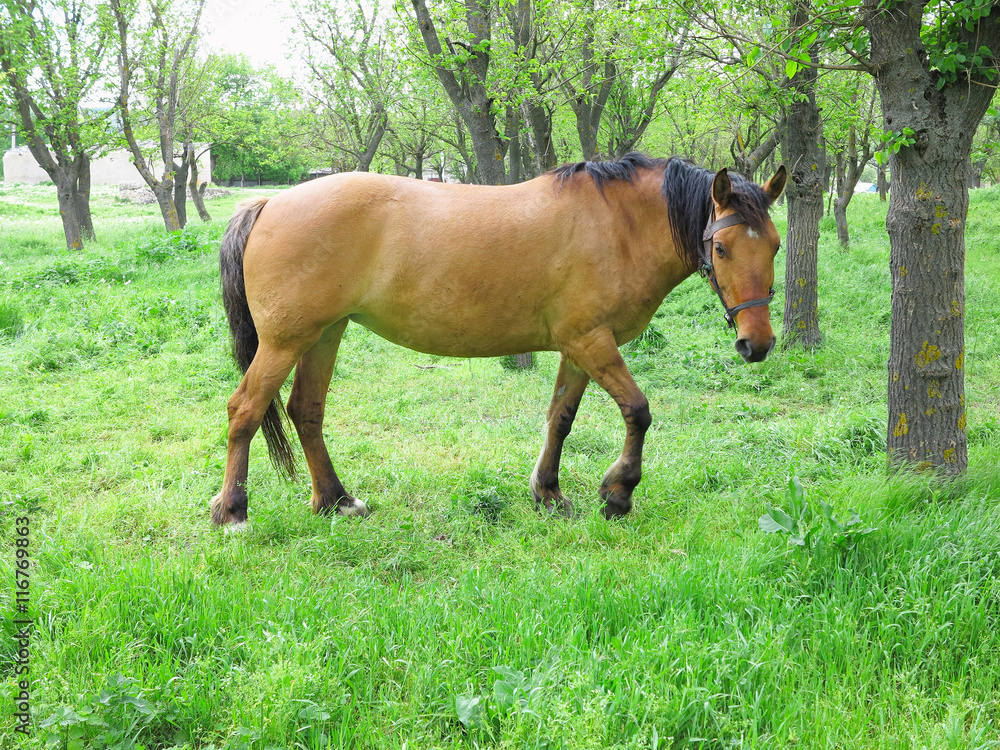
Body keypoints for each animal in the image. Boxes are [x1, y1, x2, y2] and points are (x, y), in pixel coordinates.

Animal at [212, 154, 786, 527]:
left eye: (776, 245)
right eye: (723, 247)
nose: (756, 343)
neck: (616, 224)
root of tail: (270, 203)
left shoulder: (578, 347)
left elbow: (561, 418)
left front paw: (548, 494)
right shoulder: (594, 343)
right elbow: (638, 411)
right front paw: (617, 493)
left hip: (325, 334)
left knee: (305, 411)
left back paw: (335, 500)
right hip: (286, 340)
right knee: (245, 409)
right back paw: (232, 511)